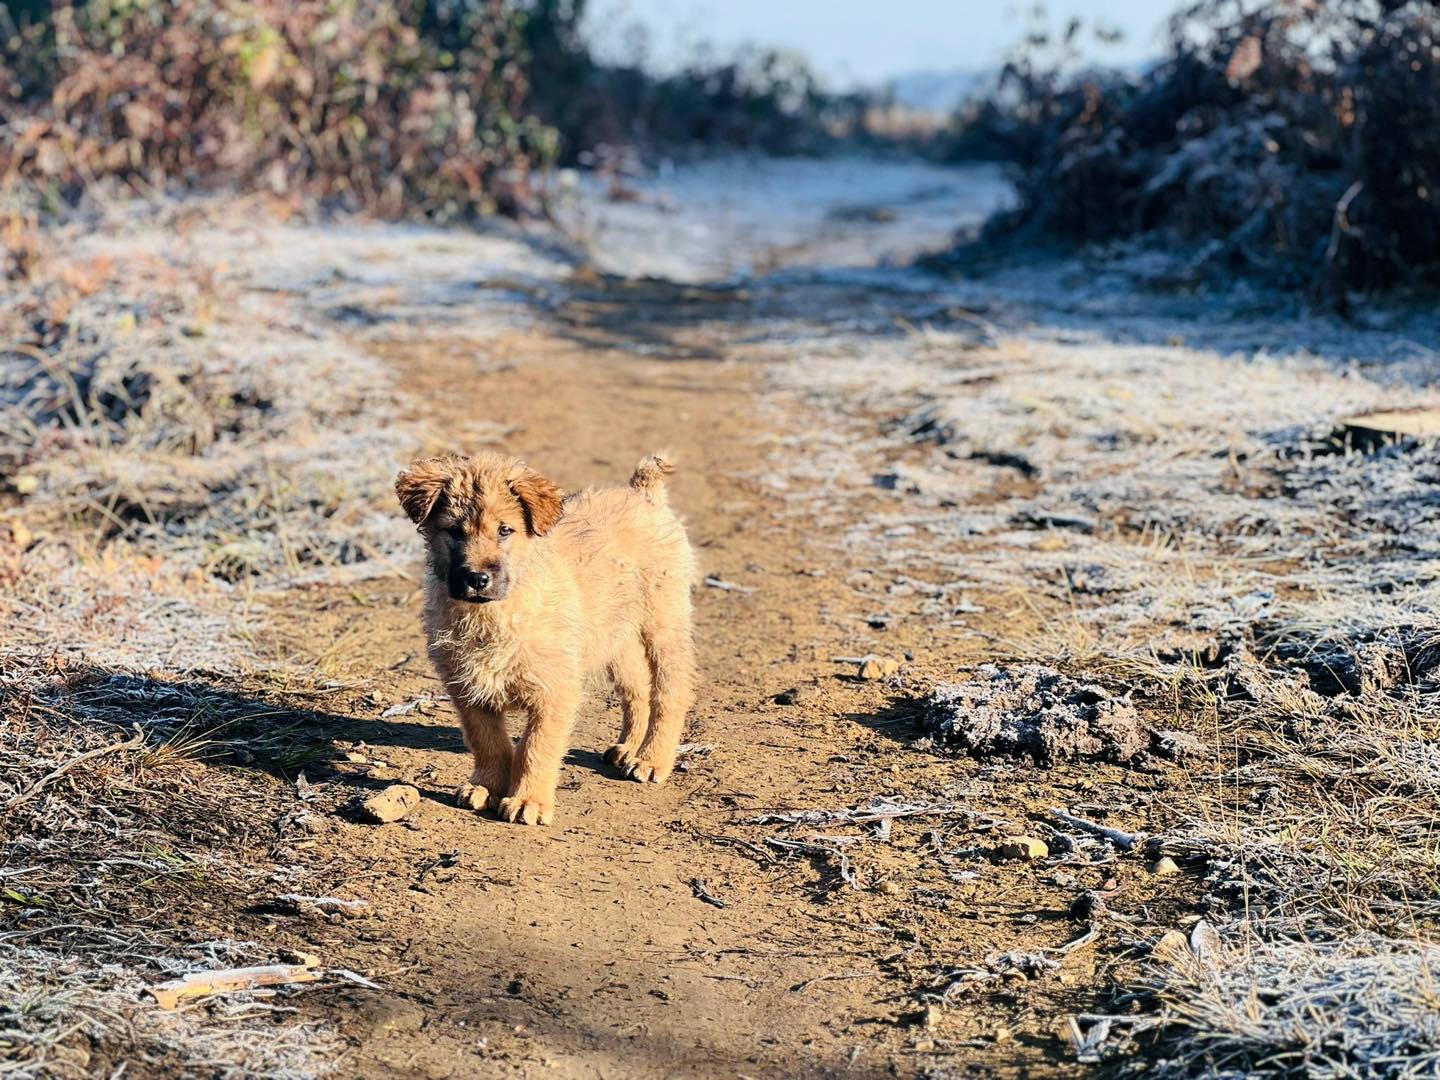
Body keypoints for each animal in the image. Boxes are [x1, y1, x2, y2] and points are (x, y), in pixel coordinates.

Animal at [397, 452, 699, 823]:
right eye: (454, 531)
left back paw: (652, 759)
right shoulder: (468, 690)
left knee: (671, 692)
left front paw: (529, 801)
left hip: (664, 623)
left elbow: (535, 747)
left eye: (505, 530)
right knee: (637, 688)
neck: (494, 615)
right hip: (614, 637)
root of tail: (642, 492)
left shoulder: (555, 691)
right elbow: (488, 743)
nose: (477, 579)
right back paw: (629, 748)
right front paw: (487, 787)